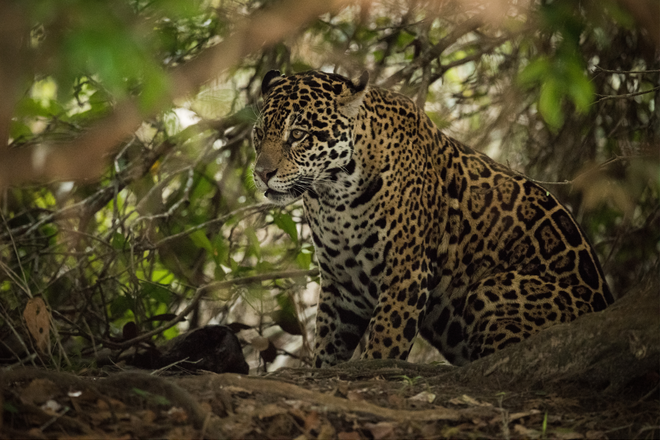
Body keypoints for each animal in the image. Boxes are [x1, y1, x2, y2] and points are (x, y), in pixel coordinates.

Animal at [251, 69, 614, 368]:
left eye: (298, 134)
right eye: (259, 134)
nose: (261, 173)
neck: (333, 197)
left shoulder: (406, 271)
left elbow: (384, 342)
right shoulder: (341, 285)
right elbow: (327, 348)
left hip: (491, 285)